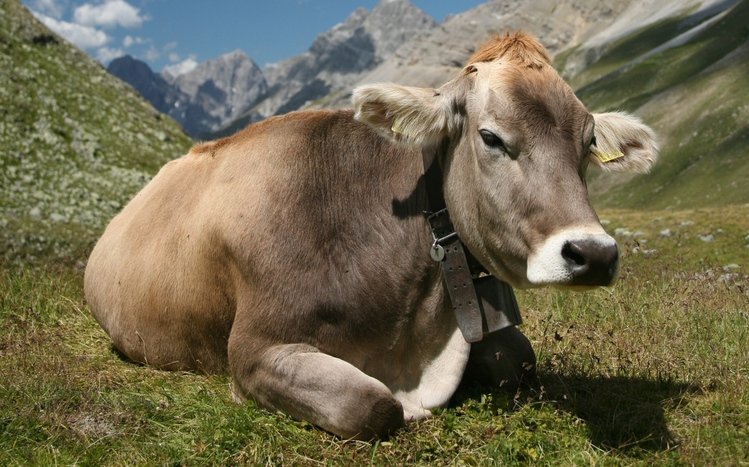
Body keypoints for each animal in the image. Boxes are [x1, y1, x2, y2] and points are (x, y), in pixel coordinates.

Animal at [84, 32, 658, 440]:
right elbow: (373, 405)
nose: (593, 254)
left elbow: (519, 360)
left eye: (588, 143)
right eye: (491, 137)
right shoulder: (254, 349)